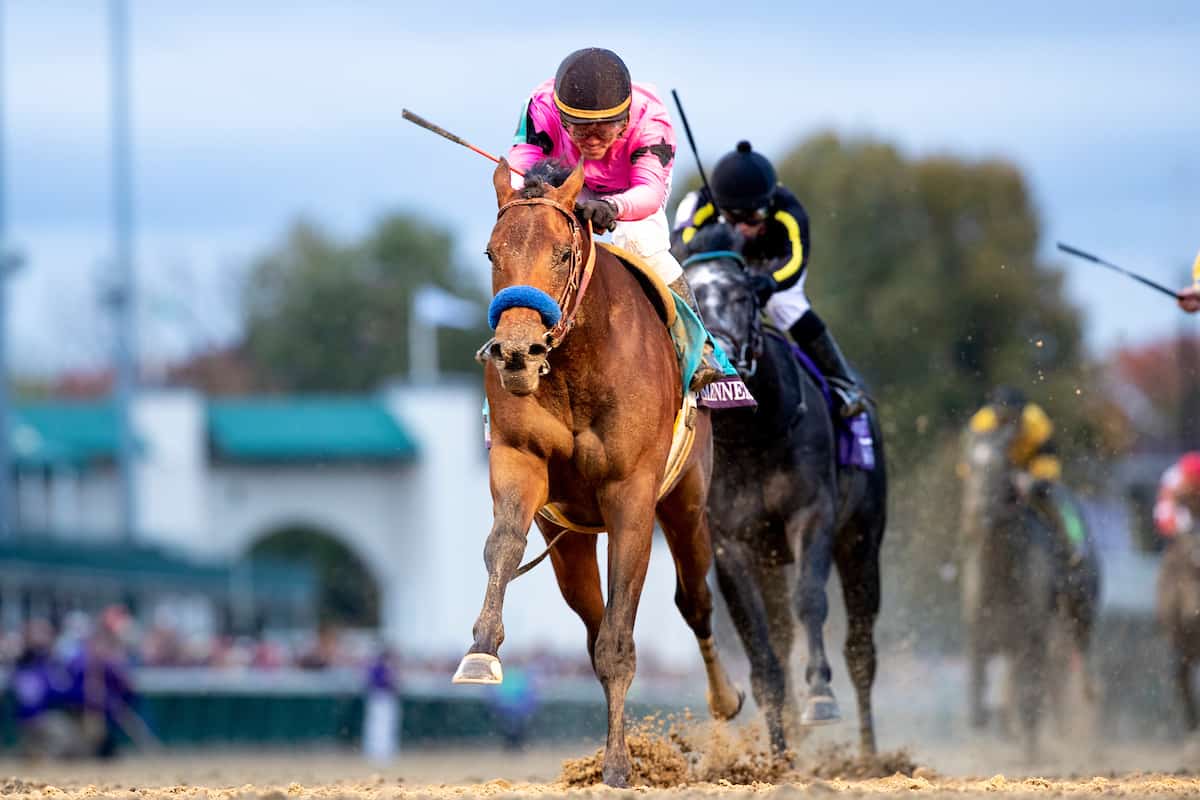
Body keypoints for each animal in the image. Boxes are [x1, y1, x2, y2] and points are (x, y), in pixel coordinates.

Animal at [453, 158, 744, 786]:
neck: (576, 365)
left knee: (694, 602)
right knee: (590, 624)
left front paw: (616, 766)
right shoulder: (520, 459)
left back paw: (725, 698)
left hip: (686, 505)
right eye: (491, 253)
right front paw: (482, 651)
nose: (516, 351)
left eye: (563, 253)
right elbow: (502, 546)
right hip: (569, 544)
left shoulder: (631, 496)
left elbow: (621, 637)